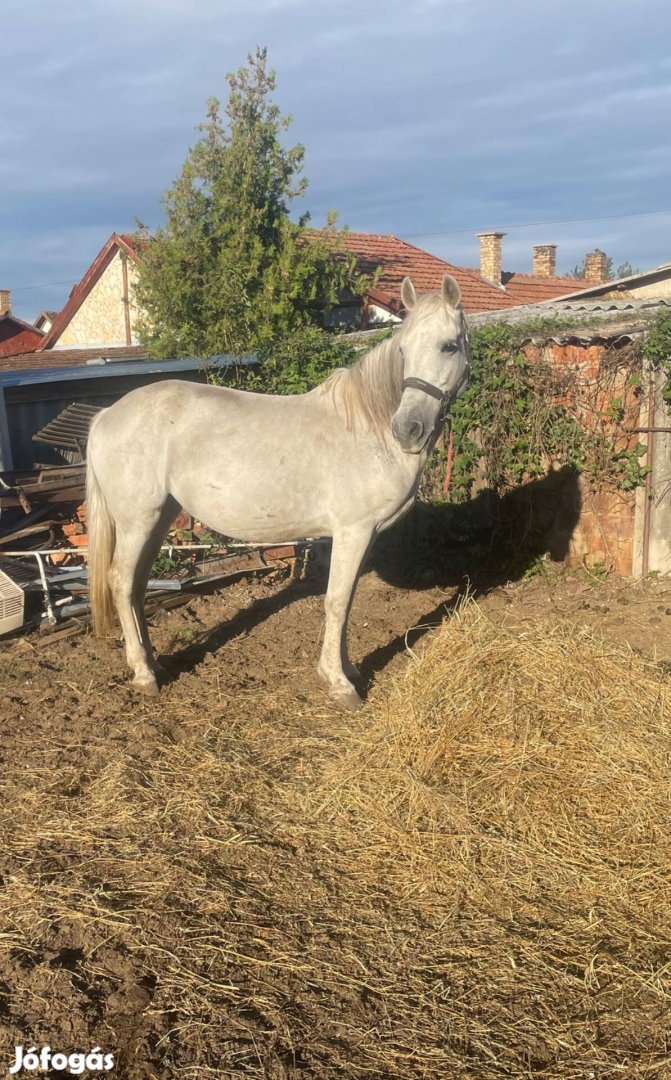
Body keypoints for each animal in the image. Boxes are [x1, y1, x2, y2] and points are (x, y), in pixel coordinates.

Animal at [86, 276, 468, 708]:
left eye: (449, 346)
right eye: (403, 351)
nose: (408, 429)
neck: (369, 428)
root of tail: (105, 415)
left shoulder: (363, 535)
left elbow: (348, 599)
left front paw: (348, 669)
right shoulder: (352, 531)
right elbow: (337, 601)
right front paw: (340, 683)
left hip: (159, 518)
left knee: (136, 586)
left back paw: (154, 662)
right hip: (137, 521)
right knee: (121, 581)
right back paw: (144, 674)